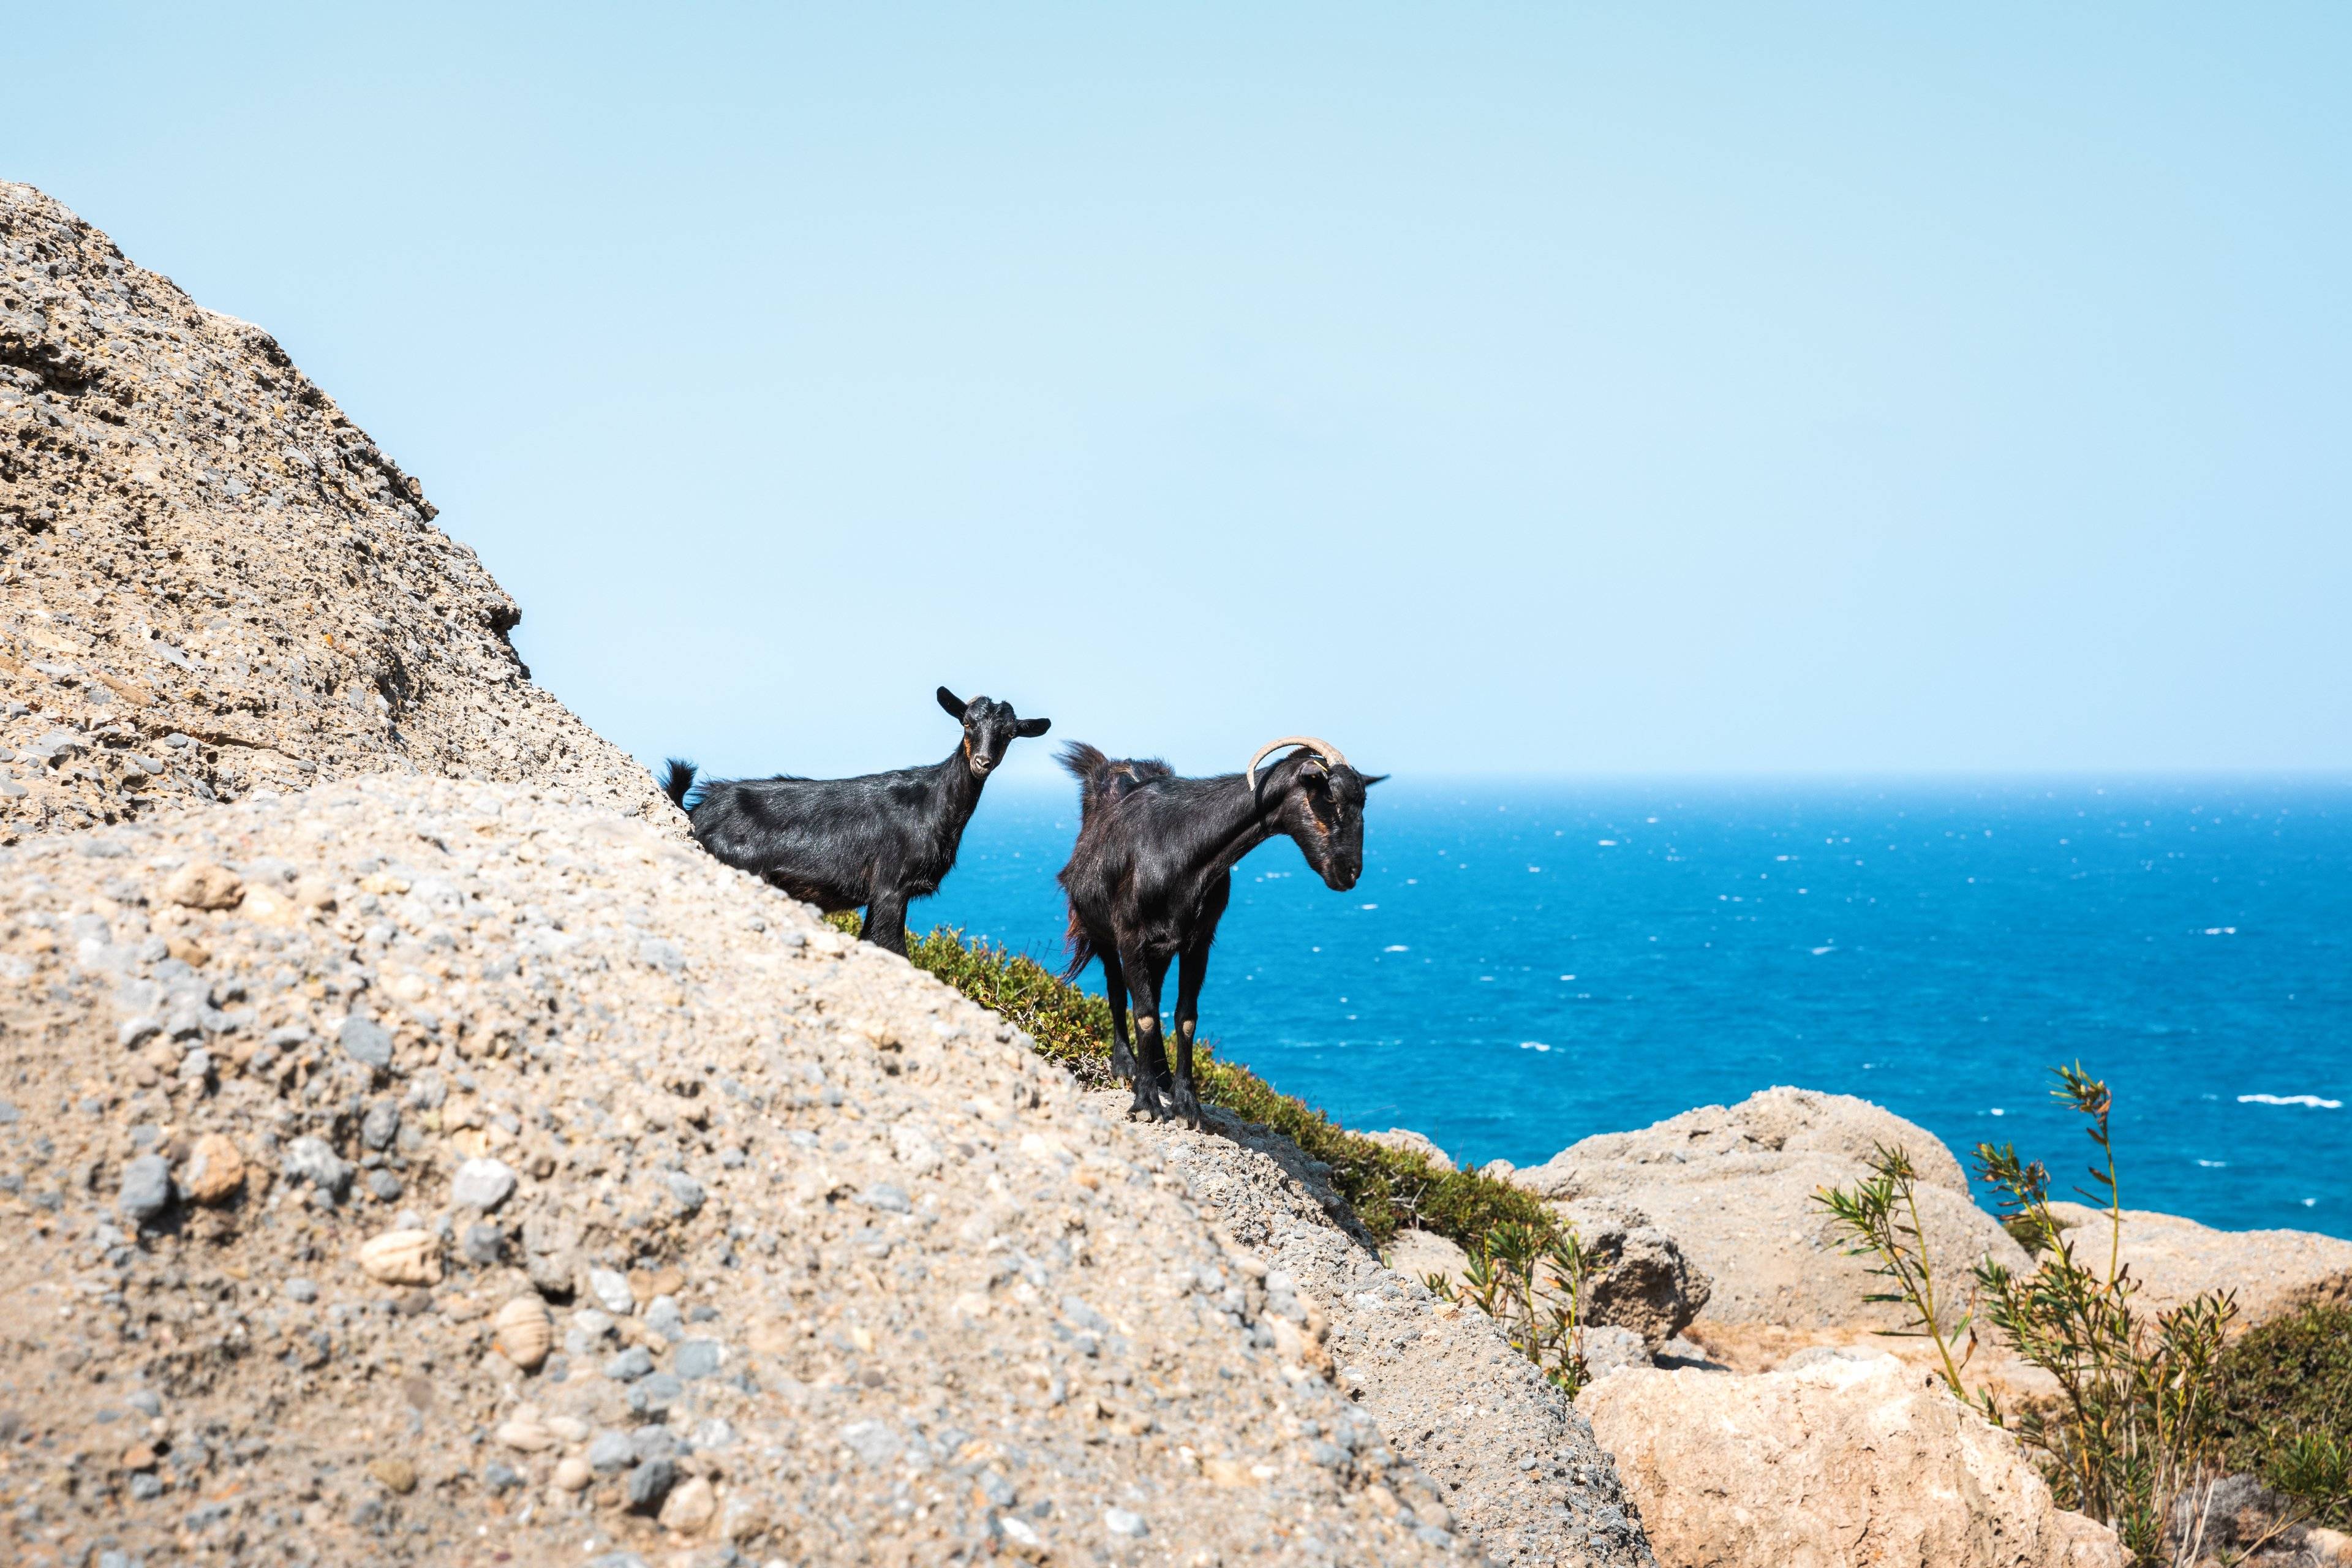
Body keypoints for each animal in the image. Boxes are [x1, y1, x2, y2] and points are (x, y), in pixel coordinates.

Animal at [663, 686, 1049, 959]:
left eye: (1010, 734)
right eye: (967, 723)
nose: (982, 762)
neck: (932, 804)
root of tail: (696, 809)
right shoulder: (891, 887)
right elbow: (892, 949)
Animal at [1063, 738, 1373, 1128]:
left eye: (1362, 802)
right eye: (1329, 798)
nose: (1350, 872)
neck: (1179, 849)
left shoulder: (1198, 941)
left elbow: (1185, 1019)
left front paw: (1187, 1106)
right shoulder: (1131, 935)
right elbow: (1144, 1015)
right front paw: (1146, 1103)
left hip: (1160, 951)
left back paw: (1162, 1075)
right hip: (1101, 930)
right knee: (1119, 994)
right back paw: (1125, 1066)